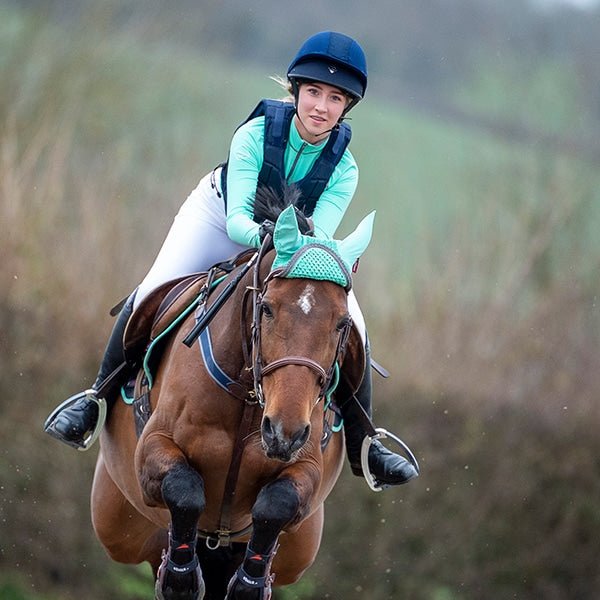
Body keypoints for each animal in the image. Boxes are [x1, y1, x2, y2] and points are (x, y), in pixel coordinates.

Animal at [90, 202, 374, 599]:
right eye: (267, 308)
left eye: (342, 323)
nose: (283, 432)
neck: (249, 398)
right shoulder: (152, 449)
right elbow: (185, 490)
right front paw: (179, 578)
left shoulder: (306, 467)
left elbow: (277, 504)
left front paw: (250, 584)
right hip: (117, 524)